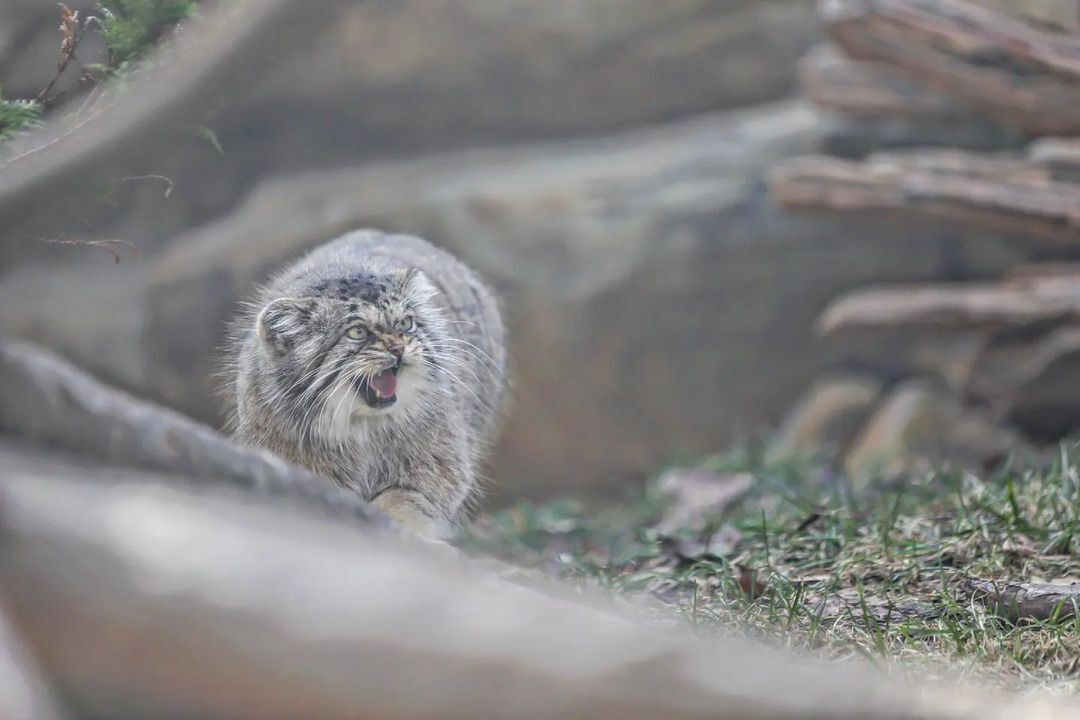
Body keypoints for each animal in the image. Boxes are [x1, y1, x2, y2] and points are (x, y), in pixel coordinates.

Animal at [227, 231, 505, 539]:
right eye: (357, 332)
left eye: (405, 323)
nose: (398, 348)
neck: (362, 430)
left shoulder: (439, 464)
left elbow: (407, 498)